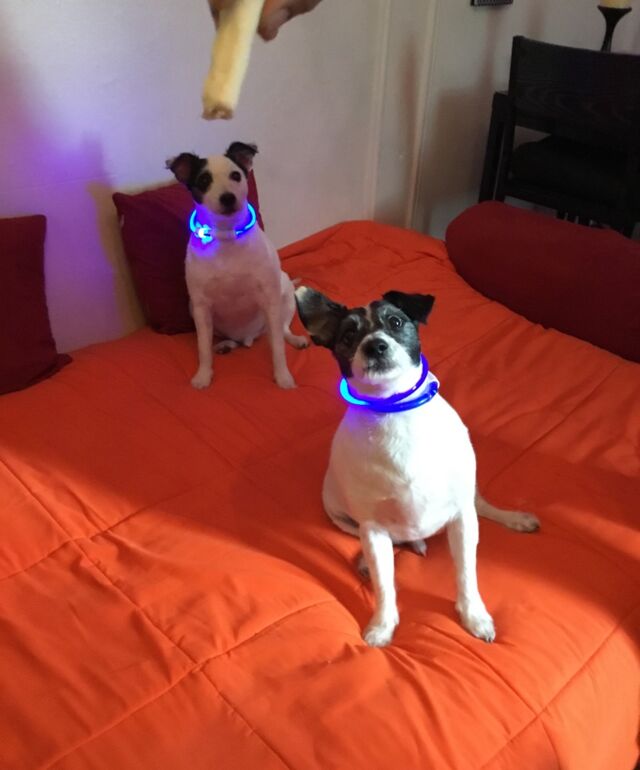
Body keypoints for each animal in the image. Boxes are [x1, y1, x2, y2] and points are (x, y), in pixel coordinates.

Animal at [167, 142, 307, 389]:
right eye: (203, 180)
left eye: (236, 175)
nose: (228, 198)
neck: (227, 237)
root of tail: (248, 338)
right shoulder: (201, 307)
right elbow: (203, 348)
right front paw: (203, 375)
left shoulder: (270, 299)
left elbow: (277, 348)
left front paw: (282, 376)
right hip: (194, 309)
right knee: (226, 340)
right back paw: (225, 345)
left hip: (286, 298)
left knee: (281, 331)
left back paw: (294, 339)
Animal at [295, 286, 539, 647]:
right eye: (349, 335)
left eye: (395, 322)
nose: (375, 345)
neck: (393, 411)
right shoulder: (373, 529)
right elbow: (385, 584)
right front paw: (382, 625)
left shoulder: (462, 517)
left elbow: (466, 573)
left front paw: (474, 616)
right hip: (340, 516)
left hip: (469, 495)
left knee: (483, 507)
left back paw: (516, 519)